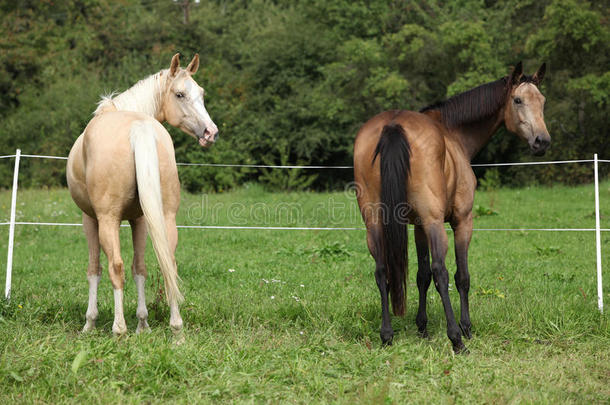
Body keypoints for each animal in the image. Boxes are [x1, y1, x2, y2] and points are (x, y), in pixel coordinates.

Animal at [66, 54, 217, 338]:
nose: (210, 133)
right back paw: (176, 329)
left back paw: (119, 329)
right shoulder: (142, 220)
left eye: (201, 94)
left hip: (108, 220)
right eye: (180, 94)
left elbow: (95, 270)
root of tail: (139, 128)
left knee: (115, 267)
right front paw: (143, 323)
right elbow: (141, 269)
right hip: (166, 218)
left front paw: (89, 323)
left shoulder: (89, 219)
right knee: (169, 265)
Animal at [352, 62, 548, 350]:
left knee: (382, 271)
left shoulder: (418, 226)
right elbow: (461, 277)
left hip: (375, 222)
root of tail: (393, 125)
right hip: (436, 224)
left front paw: (422, 327)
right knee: (441, 272)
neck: (452, 133)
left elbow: (421, 276)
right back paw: (456, 339)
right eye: (518, 100)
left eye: (542, 101)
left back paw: (386, 335)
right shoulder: (461, 221)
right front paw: (466, 328)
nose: (542, 141)